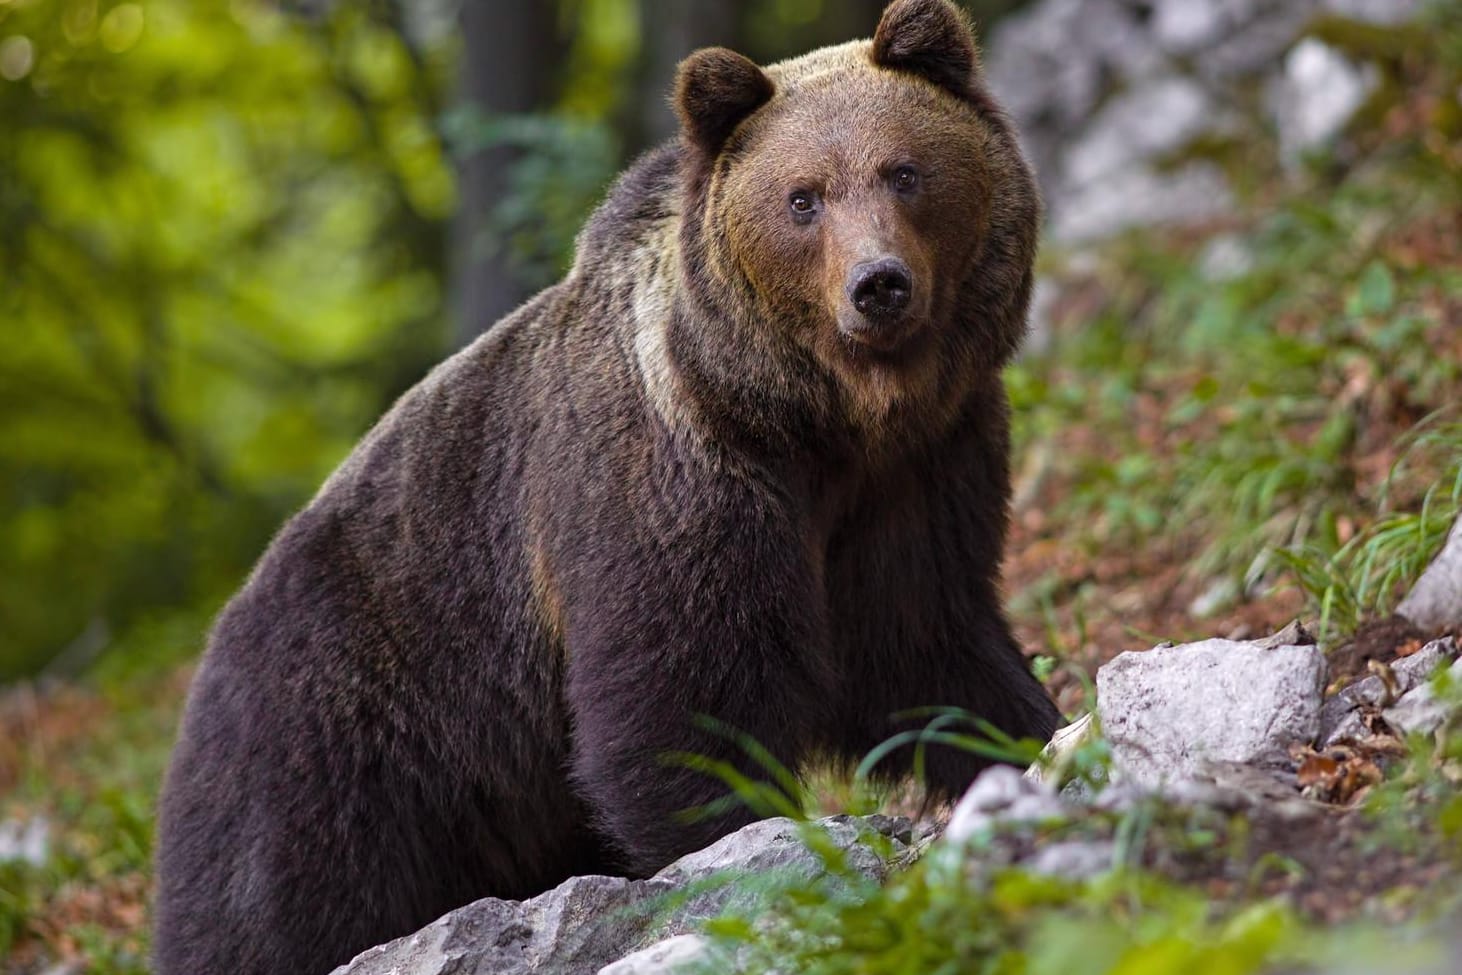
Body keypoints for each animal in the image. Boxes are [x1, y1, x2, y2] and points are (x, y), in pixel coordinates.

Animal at [154, 0, 1058, 970]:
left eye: (905, 171)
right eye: (803, 197)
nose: (877, 284)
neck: (815, 422)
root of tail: (206, 651)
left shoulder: (919, 473)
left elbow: (923, 643)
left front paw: (1028, 737)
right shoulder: (671, 481)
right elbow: (683, 701)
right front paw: (744, 851)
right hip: (334, 739)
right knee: (273, 909)